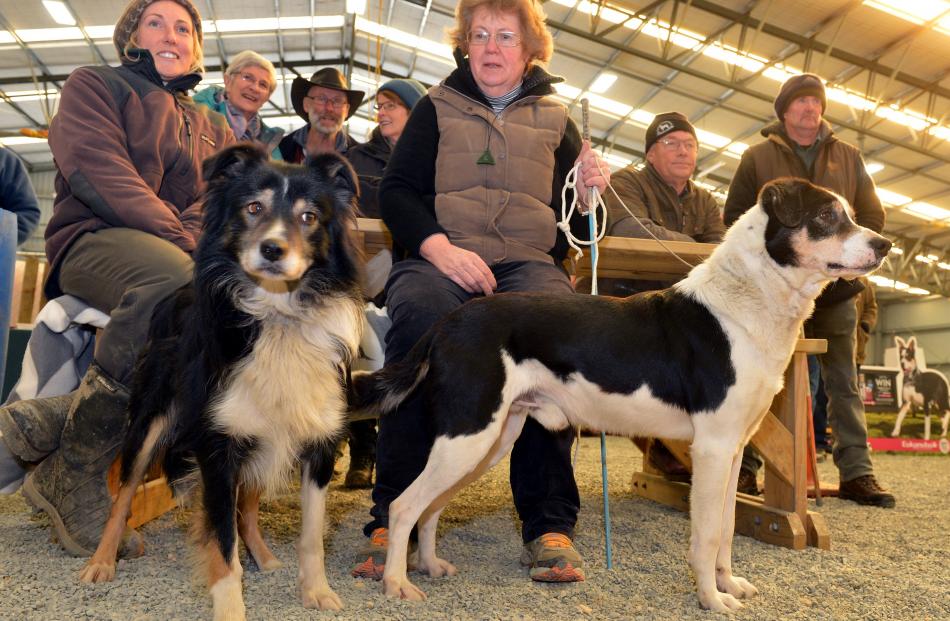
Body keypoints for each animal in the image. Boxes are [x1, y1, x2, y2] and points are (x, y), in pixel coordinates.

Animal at [78, 143, 364, 616]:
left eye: (309, 217)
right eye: (253, 208)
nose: (272, 249)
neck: (277, 317)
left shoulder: (316, 441)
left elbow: (311, 534)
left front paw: (317, 591)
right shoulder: (218, 446)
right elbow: (222, 543)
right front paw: (230, 608)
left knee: (246, 508)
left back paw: (265, 557)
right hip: (152, 422)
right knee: (123, 497)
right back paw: (100, 562)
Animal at [350, 176, 892, 612]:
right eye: (826, 216)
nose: (885, 244)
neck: (744, 304)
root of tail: (448, 322)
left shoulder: (735, 449)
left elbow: (727, 531)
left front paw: (728, 584)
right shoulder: (712, 448)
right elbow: (707, 535)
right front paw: (711, 599)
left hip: (489, 439)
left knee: (431, 508)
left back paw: (430, 565)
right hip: (468, 434)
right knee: (404, 506)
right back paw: (397, 584)